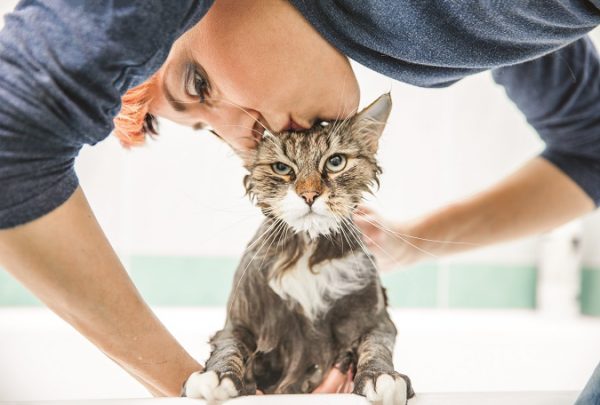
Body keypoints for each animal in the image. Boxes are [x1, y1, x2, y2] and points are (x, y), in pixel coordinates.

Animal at [185, 93, 414, 402]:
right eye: (282, 168)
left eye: (336, 162)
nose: (309, 195)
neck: (306, 251)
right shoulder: (240, 323)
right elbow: (229, 347)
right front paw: (216, 376)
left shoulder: (376, 321)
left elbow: (375, 347)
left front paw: (382, 377)